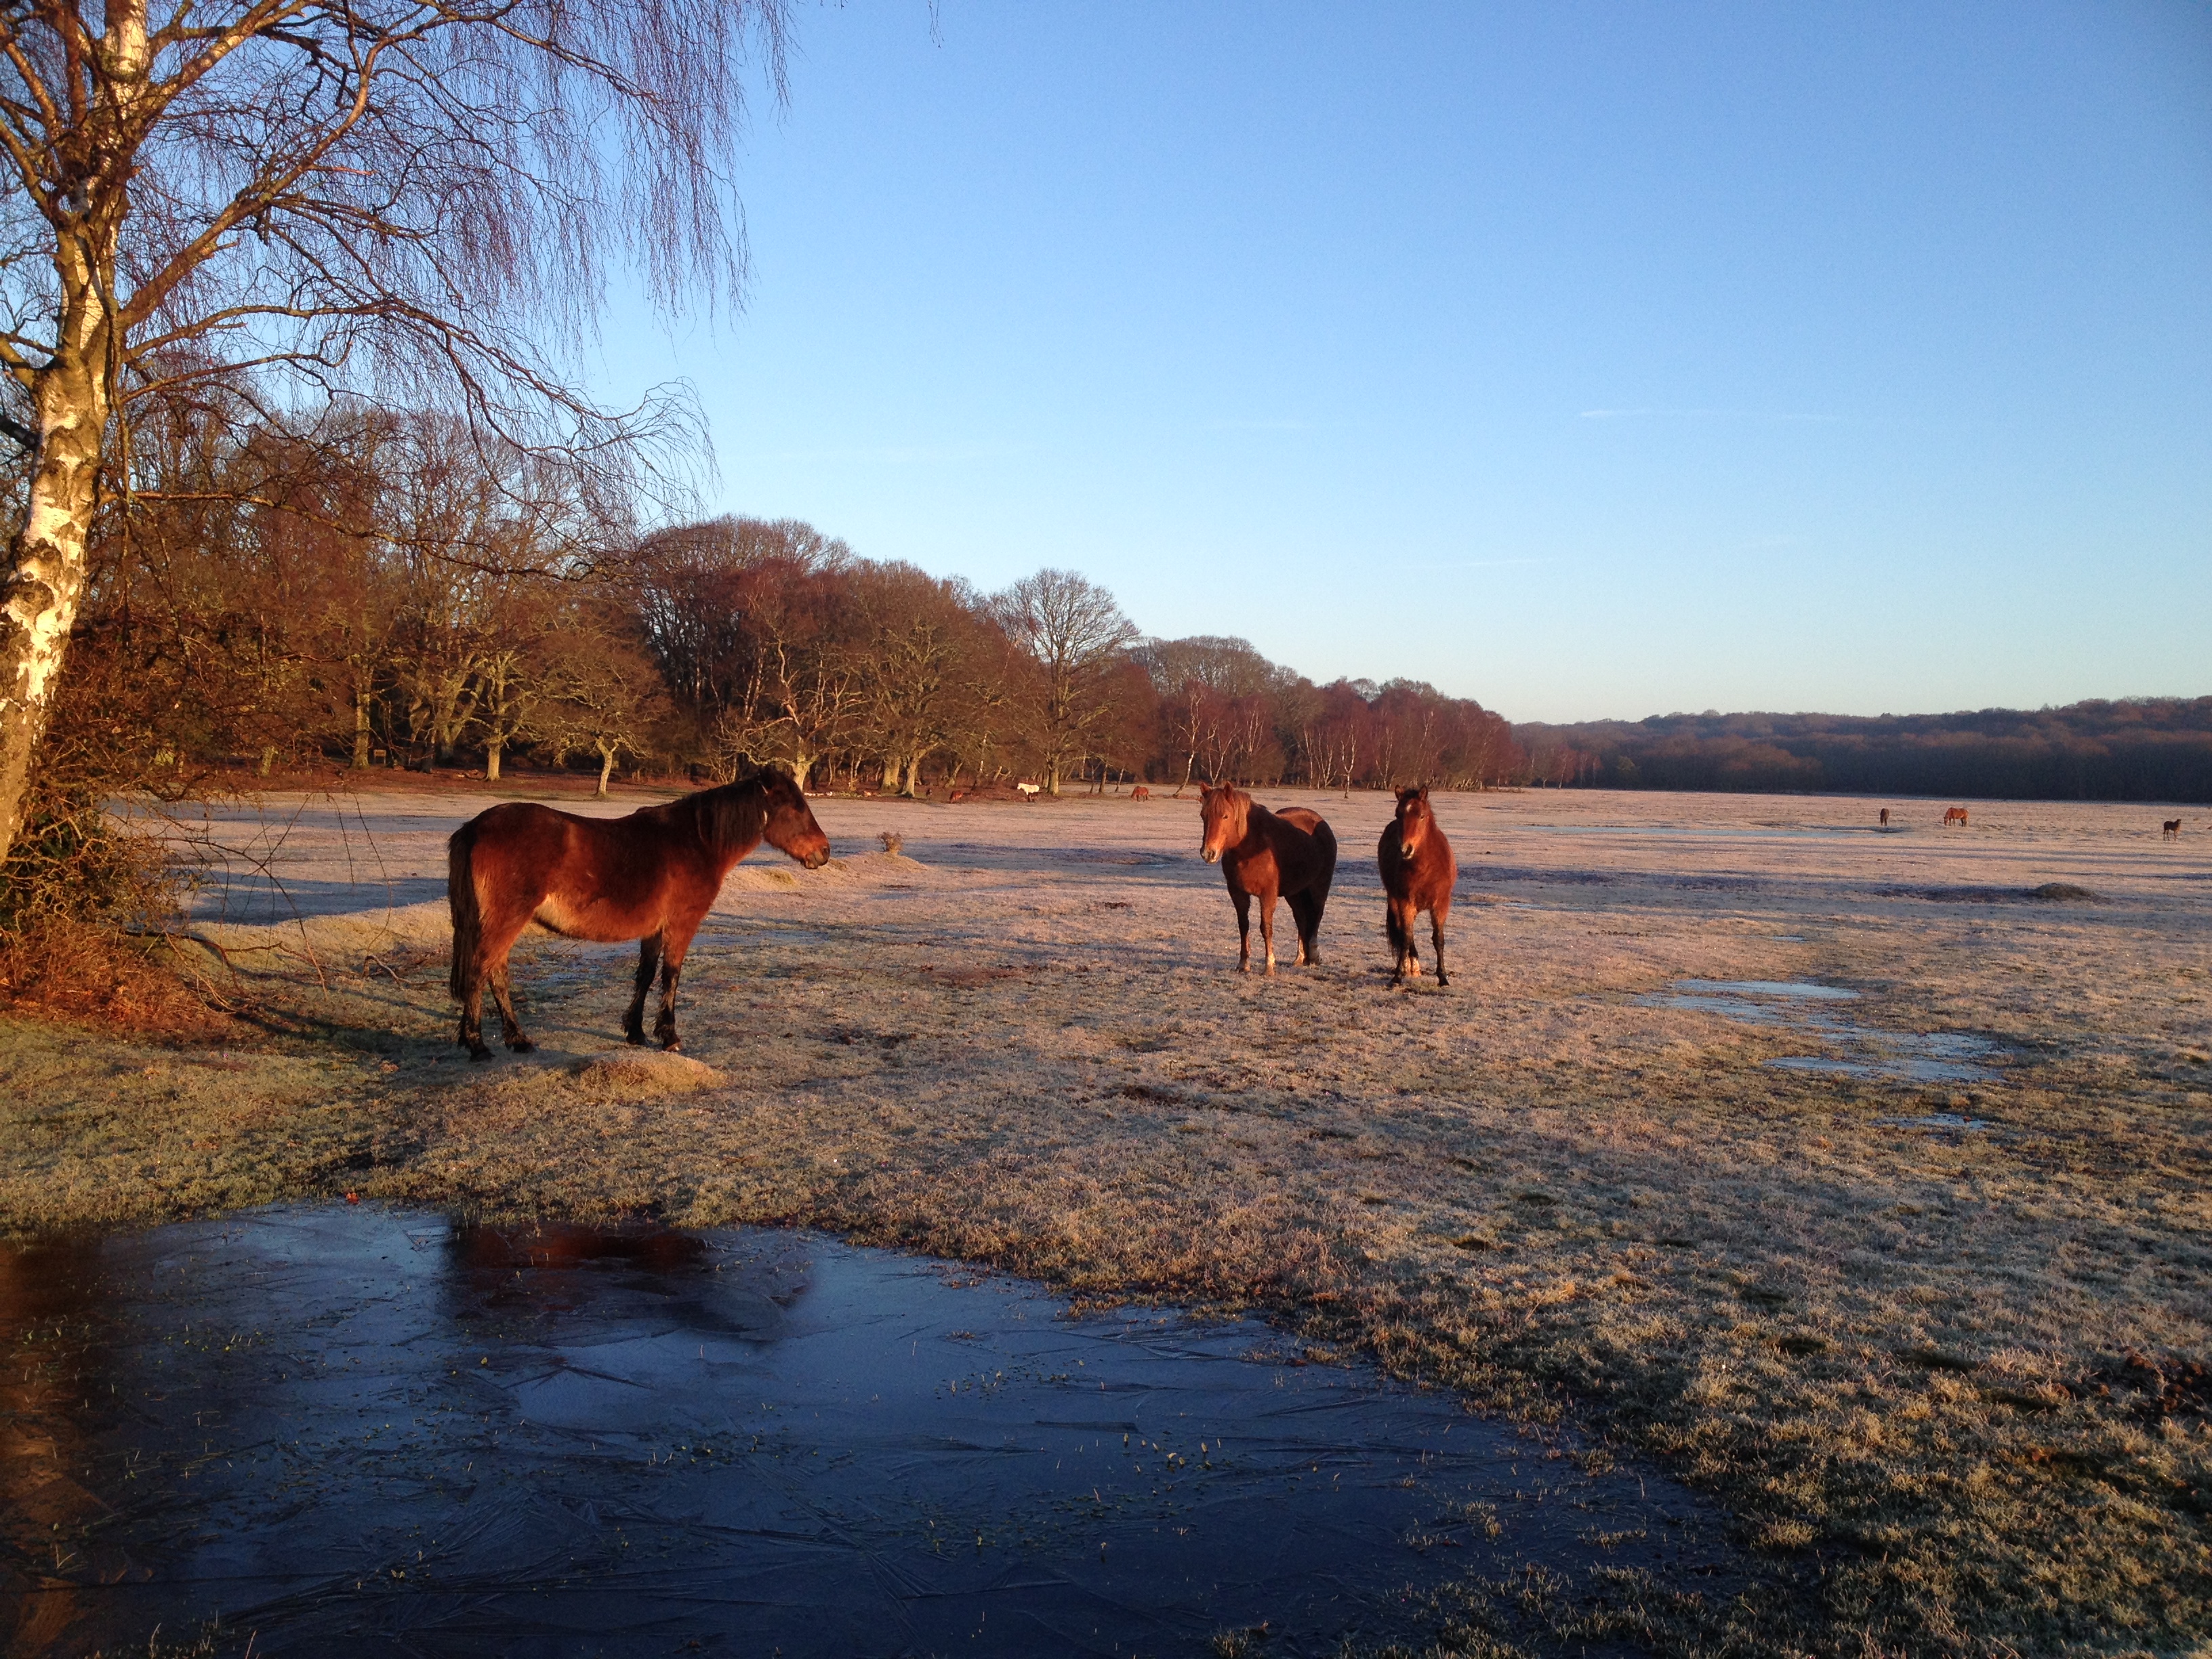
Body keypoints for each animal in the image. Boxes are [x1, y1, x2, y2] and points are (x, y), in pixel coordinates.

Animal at [449, 769, 832, 1066]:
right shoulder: (681, 924)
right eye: (795, 809)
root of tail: (476, 827)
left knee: (496, 972)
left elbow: (645, 975)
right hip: (506, 920)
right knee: (480, 970)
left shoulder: (654, 930)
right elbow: (671, 975)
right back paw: (478, 1045)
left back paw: (517, 1039)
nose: (824, 852)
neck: (697, 841)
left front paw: (635, 1032)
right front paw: (669, 1036)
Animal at [1203, 783, 1336, 973]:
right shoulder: (1238, 893)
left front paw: (1269, 966)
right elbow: (1243, 926)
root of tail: (1321, 824)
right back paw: (1300, 958)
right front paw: (1243, 964)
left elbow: (1266, 928)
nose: (1208, 853)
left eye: (1225, 816)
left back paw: (1313, 955)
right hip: (1294, 893)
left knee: (1317, 916)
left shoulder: (1268, 895)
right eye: (1203, 816)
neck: (1250, 847)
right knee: (1301, 919)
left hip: (1319, 888)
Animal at [1371, 787, 1460, 986]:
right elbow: (1405, 937)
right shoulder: (1405, 903)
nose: (1405, 849)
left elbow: (1438, 939)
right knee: (1405, 934)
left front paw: (1443, 977)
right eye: (1398, 814)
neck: (1426, 868)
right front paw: (1398, 976)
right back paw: (1412, 966)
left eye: (1421, 816)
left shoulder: (1441, 905)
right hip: (1396, 902)